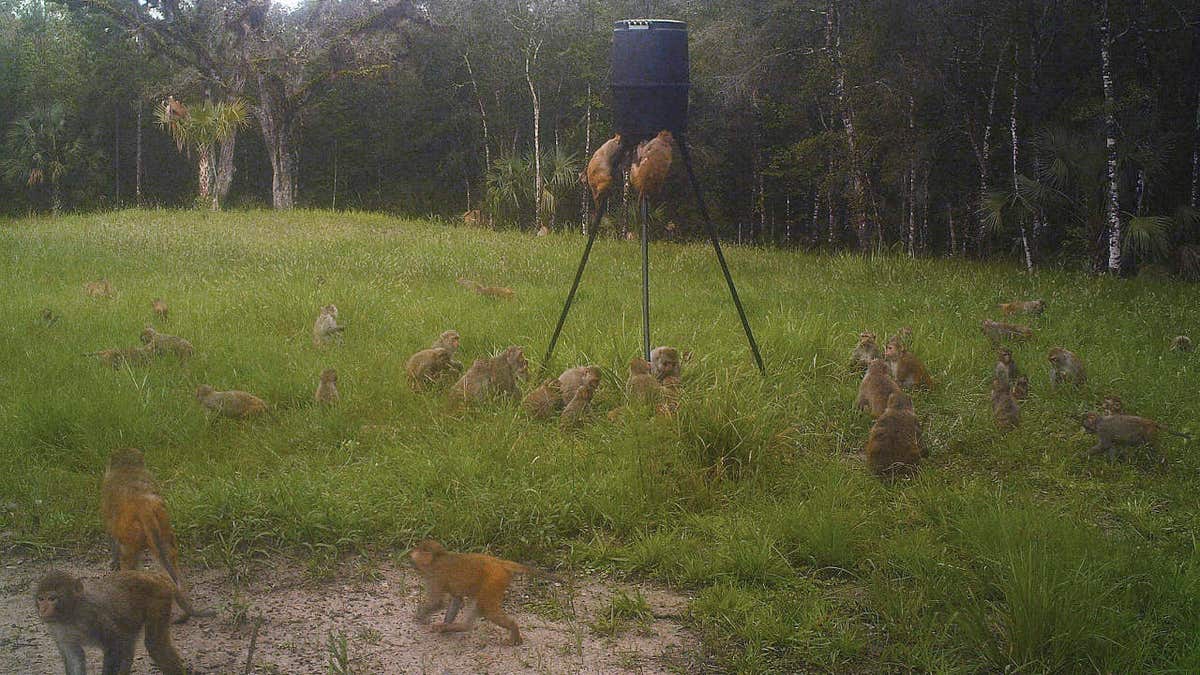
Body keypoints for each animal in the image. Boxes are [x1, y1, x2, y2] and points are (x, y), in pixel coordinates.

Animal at [35, 566, 190, 672]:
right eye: (41, 599)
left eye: (52, 599)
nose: (43, 610)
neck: (71, 615)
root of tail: (154, 576)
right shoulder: (57, 630)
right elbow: (73, 658)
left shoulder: (93, 616)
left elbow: (114, 644)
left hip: (159, 598)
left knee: (155, 645)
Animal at [101, 446, 213, 619]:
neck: (127, 468)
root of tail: (143, 505)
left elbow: (111, 534)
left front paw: (114, 562)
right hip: (163, 521)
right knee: (169, 557)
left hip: (132, 530)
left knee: (129, 556)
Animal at [405, 538, 549, 643]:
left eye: (416, 550)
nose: (410, 554)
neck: (437, 558)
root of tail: (500, 563)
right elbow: (457, 599)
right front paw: (445, 624)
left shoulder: (434, 577)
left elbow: (438, 602)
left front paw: (420, 617)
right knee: (477, 602)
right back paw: (461, 627)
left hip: (494, 581)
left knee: (489, 610)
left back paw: (513, 628)